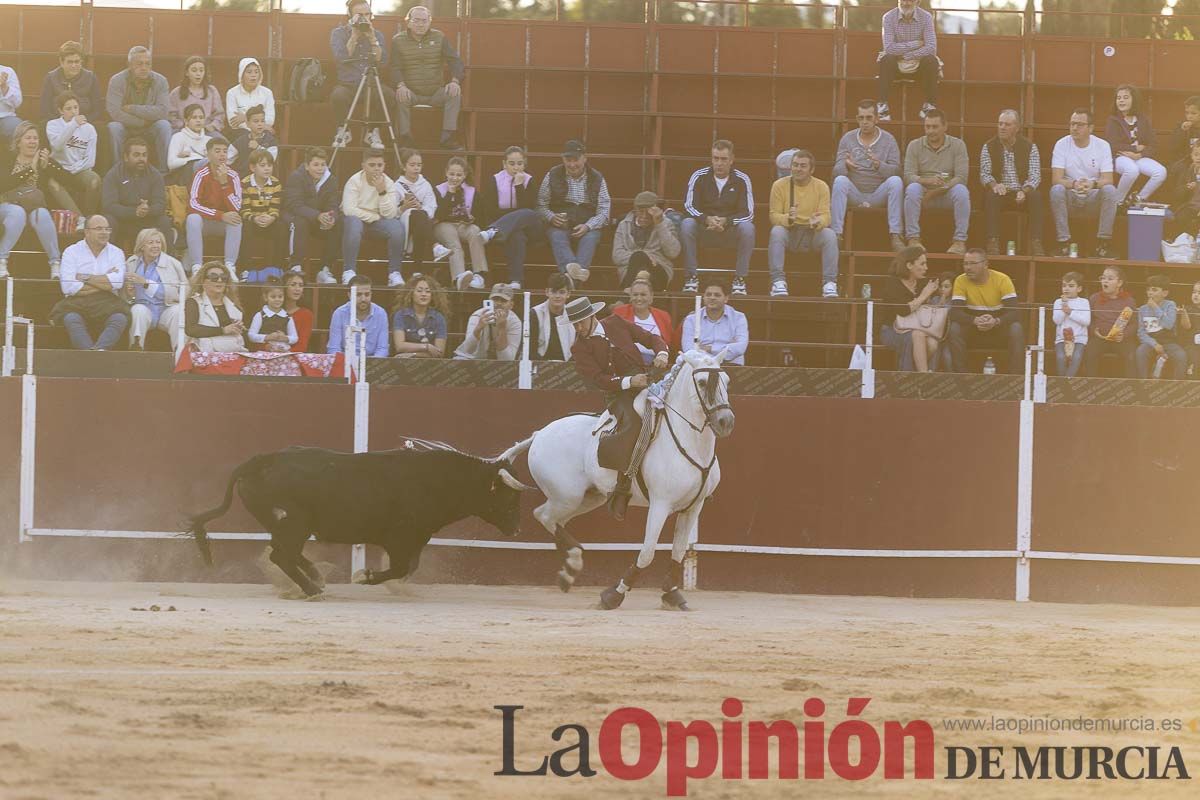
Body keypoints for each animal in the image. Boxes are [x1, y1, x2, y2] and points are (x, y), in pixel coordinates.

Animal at [181, 443, 530, 594]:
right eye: (510, 497)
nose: (516, 529)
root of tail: (261, 461)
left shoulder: (417, 537)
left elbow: (410, 567)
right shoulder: (401, 537)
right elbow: (401, 568)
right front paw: (366, 576)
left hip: (284, 524)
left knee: (283, 553)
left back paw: (315, 577)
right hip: (295, 523)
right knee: (282, 555)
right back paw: (313, 588)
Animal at [504, 350, 729, 614]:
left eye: (726, 380)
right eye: (702, 382)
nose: (726, 421)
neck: (690, 442)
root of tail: (540, 434)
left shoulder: (693, 507)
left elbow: (679, 552)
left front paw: (672, 594)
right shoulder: (660, 505)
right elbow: (647, 553)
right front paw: (613, 595)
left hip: (588, 498)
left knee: (551, 519)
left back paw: (569, 568)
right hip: (567, 497)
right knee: (545, 516)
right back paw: (572, 564)